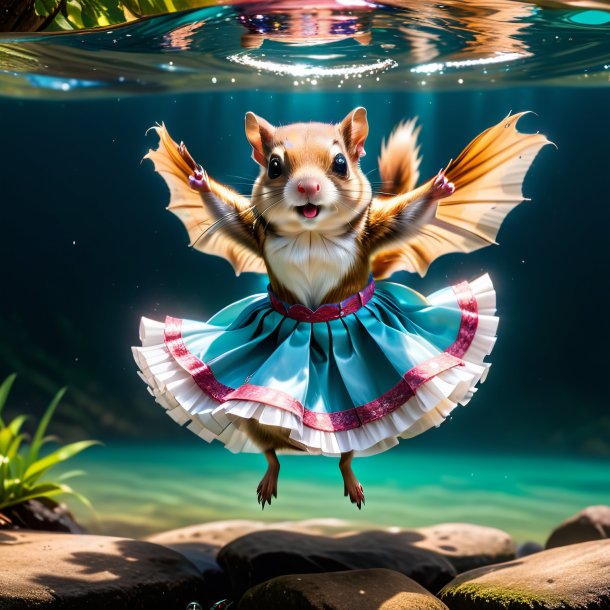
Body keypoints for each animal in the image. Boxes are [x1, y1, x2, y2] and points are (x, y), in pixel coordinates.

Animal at [145, 107, 548, 506]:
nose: (308, 187)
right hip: (257, 418)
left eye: (340, 163)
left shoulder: (372, 229)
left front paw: (441, 187)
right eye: (274, 166)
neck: (310, 233)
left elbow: (407, 218)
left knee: (346, 452)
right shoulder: (254, 229)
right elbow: (228, 215)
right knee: (267, 444)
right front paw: (197, 179)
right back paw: (271, 477)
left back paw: (350, 480)